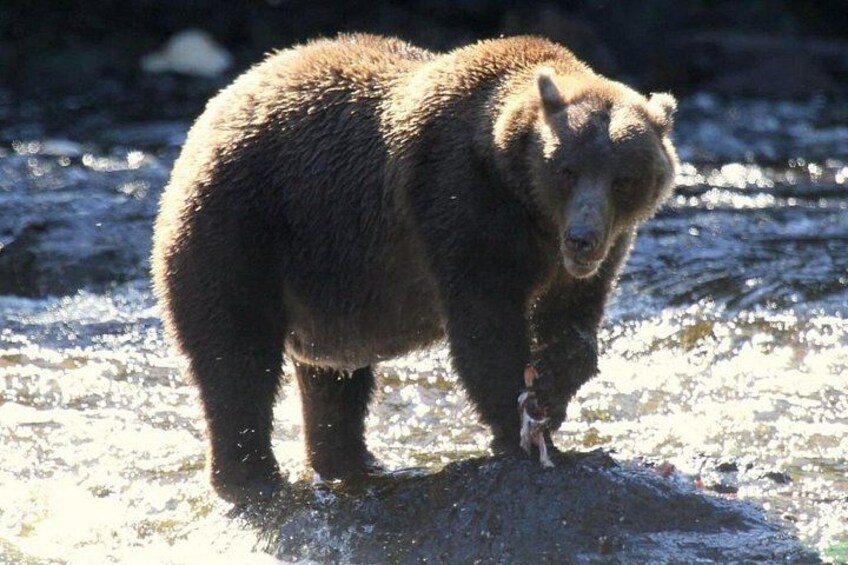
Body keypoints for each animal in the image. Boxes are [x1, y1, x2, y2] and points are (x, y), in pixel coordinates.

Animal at [152, 33, 678, 504]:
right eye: (567, 170)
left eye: (624, 179)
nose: (582, 237)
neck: (523, 199)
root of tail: (217, 107)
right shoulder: (458, 205)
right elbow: (484, 329)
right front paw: (523, 430)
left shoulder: (594, 252)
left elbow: (573, 320)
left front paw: (550, 388)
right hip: (242, 222)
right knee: (235, 353)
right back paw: (251, 477)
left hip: (327, 286)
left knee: (333, 379)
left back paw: (353, 462)